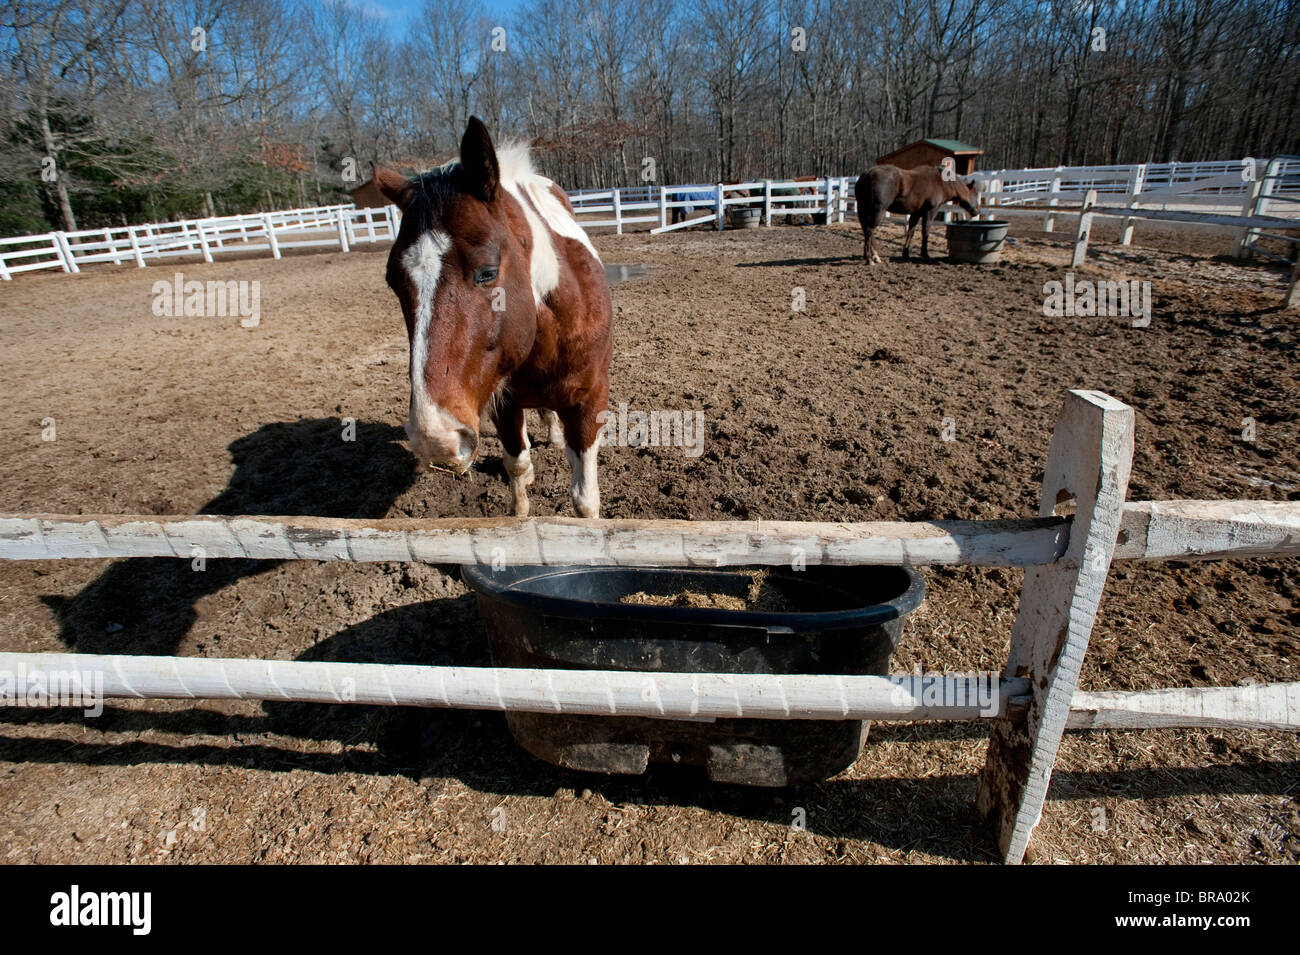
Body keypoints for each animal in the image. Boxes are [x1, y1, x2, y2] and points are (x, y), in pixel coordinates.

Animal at [372, 117, 612, 518]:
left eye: (487, 271)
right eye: (393, 280)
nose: (436, 438)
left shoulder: (589, 402)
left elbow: (585, 499)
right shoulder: (504, 404)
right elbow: (517, 464)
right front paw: (520, 511)